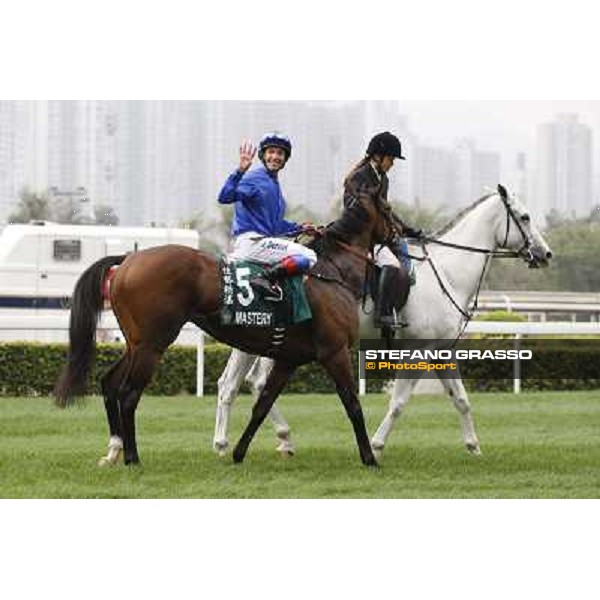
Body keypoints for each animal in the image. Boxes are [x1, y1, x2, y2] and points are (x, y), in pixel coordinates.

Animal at [55, 195, 398, 466]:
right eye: (389, 209)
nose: (402, 233)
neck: (331, 274)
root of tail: (129, 258)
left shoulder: (288, 360)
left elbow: (262, 406)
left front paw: (238, 452)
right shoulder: (334, 352)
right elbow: (352, 404)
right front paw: (369, 457)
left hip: (136, 343)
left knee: (109, 383)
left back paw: (114, 449)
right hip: (153, 345)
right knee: (128, 394)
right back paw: (131, 456)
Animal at [212, 188, 552, 460]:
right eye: (525, 217)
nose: (545, 253)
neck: (447, 274)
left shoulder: (441, 352)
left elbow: (462, 400)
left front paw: (473, 445)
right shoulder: (416, 352)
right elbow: (398, 403)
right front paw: (375, 446)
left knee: (239, 383)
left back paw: (254, 441)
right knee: (244, 383)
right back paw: (241, 441)